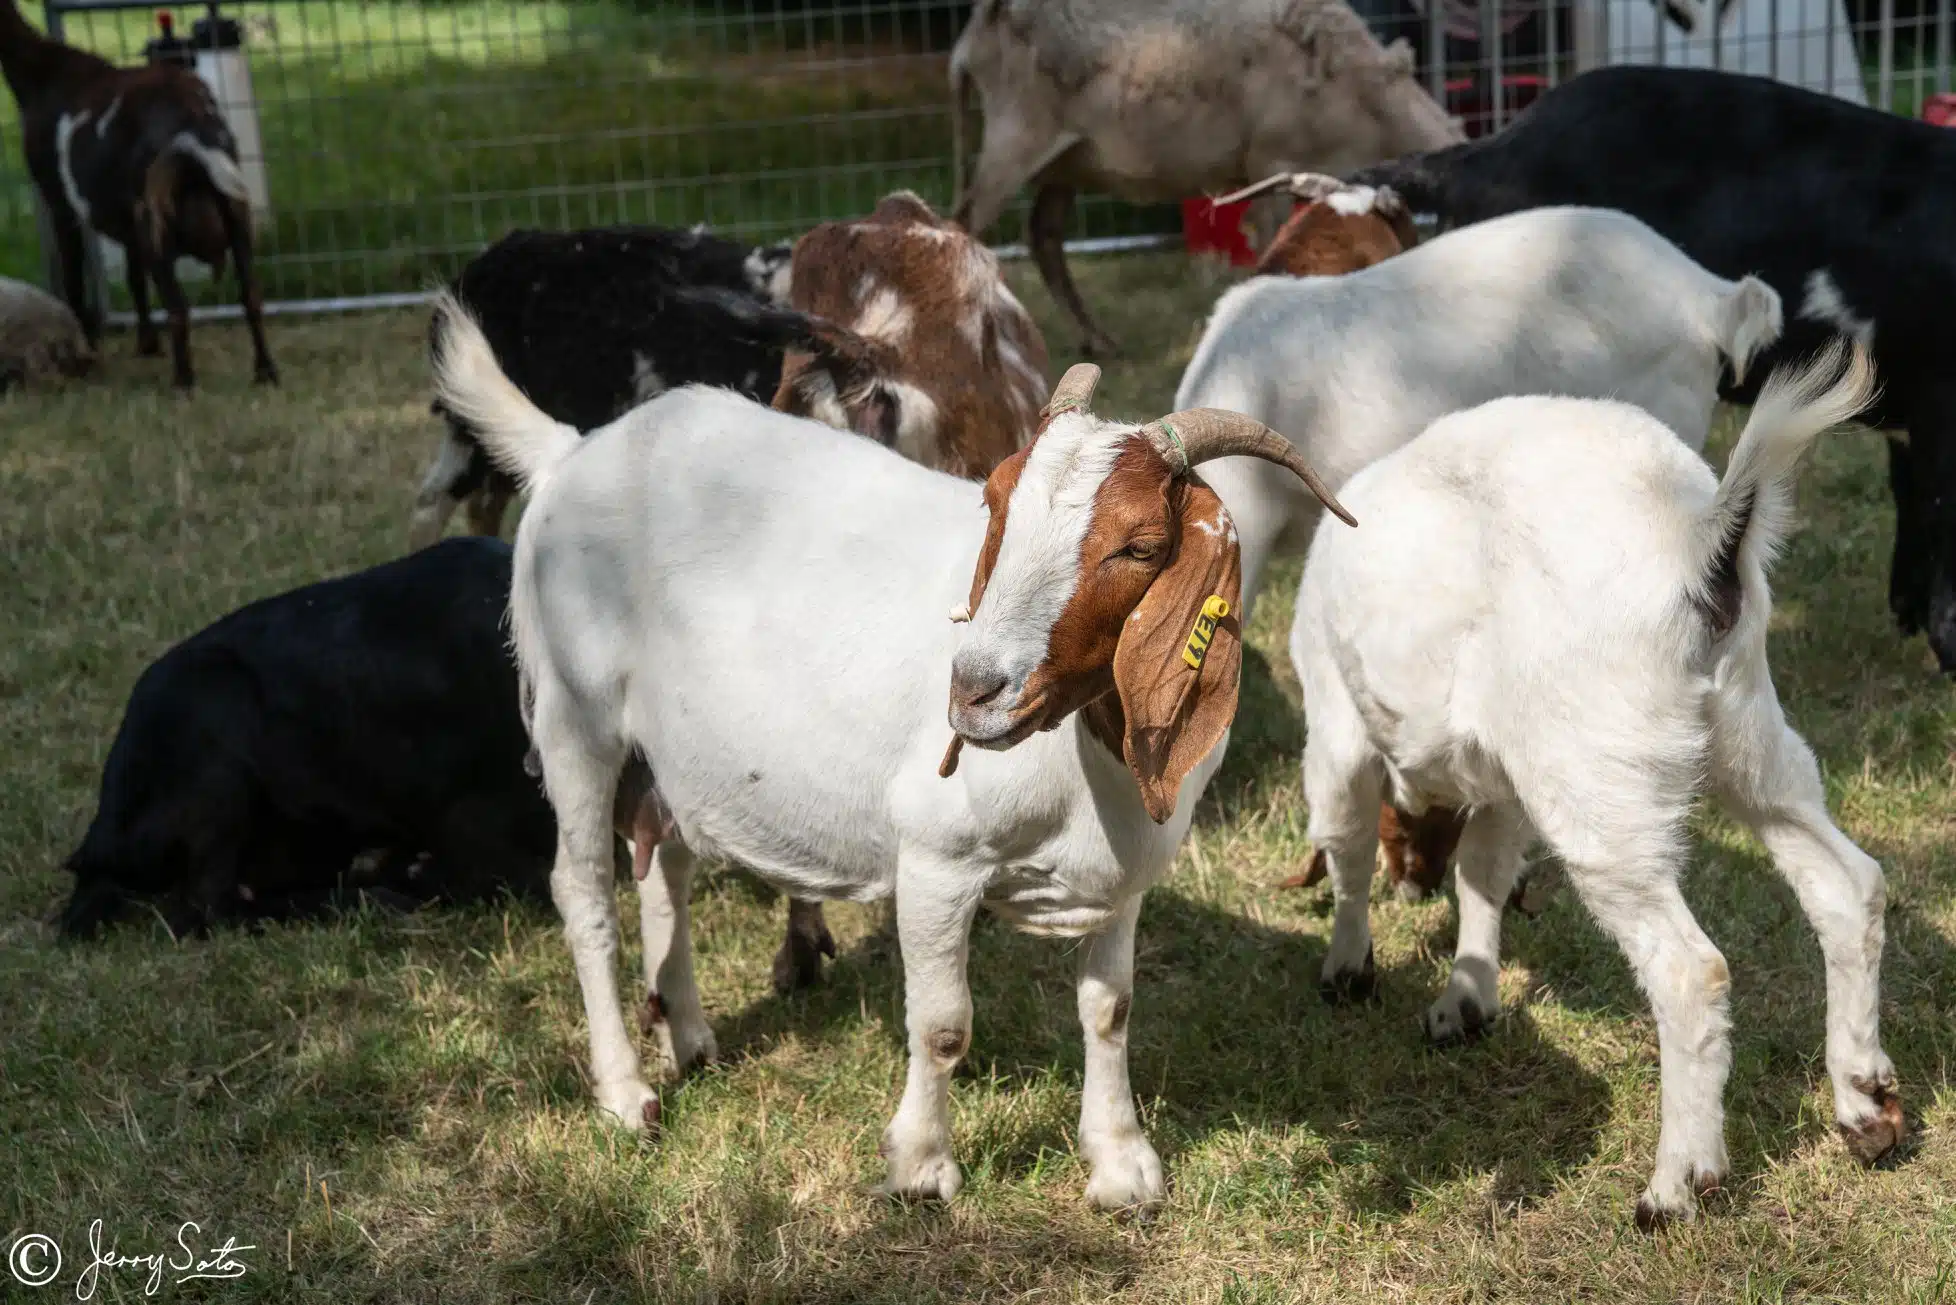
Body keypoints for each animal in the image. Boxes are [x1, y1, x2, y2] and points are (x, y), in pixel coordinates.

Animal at [0, 0, 277, 387]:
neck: (42, 71)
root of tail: (191, 128)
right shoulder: (127, 221)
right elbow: (134, 279)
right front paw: (147, 344)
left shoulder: (60, 203)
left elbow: (73, 282)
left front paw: (88, 344)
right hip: (233, 210)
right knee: (250, 294)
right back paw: (266, 371)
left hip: (156, 224)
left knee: (178, 308)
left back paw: (183, 382)